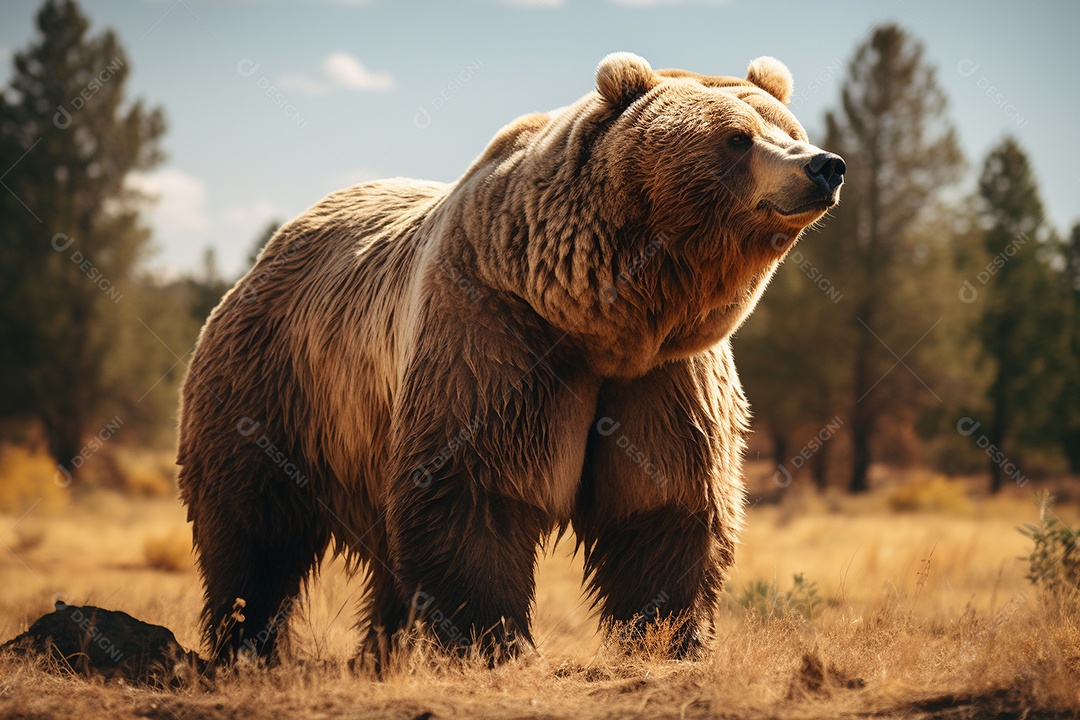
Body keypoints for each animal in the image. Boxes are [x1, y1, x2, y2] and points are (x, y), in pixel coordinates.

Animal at [177, 52, 844, 667]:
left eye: (789, 127)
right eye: (737, 137)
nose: (824, 165)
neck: (603, 316)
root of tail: (272, 247)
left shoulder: (666, 371)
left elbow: (667, 498)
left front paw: (669, 639)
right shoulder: (494, 334)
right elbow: (476, 488)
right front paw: (495, 643)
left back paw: (382, 652)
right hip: (275, 384)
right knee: (254, 526)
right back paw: (246, 643)